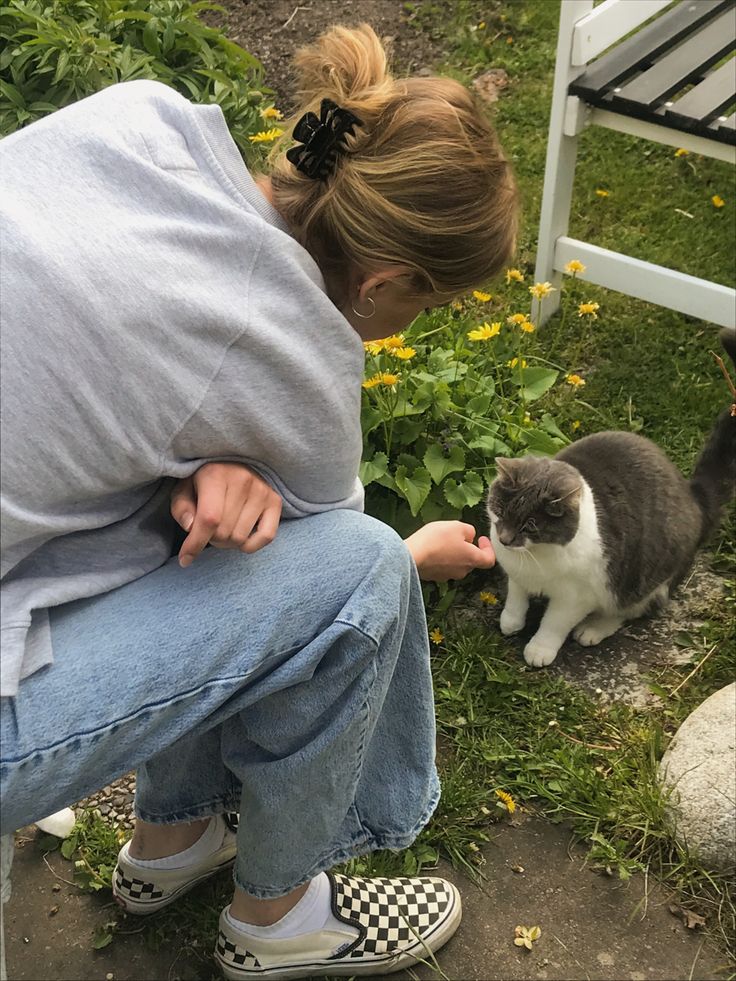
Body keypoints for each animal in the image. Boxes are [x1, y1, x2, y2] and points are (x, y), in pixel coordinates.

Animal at [486, 330, 732, 668]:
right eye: (500, 509)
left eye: (531, 525)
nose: (505, 539)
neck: (535, 558)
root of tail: (691, 495)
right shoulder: (517, 575)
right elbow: (516, 595)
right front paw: (511, 621)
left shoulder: (577, 596)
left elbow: (554, 623)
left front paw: (539, 649)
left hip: (643, 580)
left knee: (632, 609)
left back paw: (592, 629)